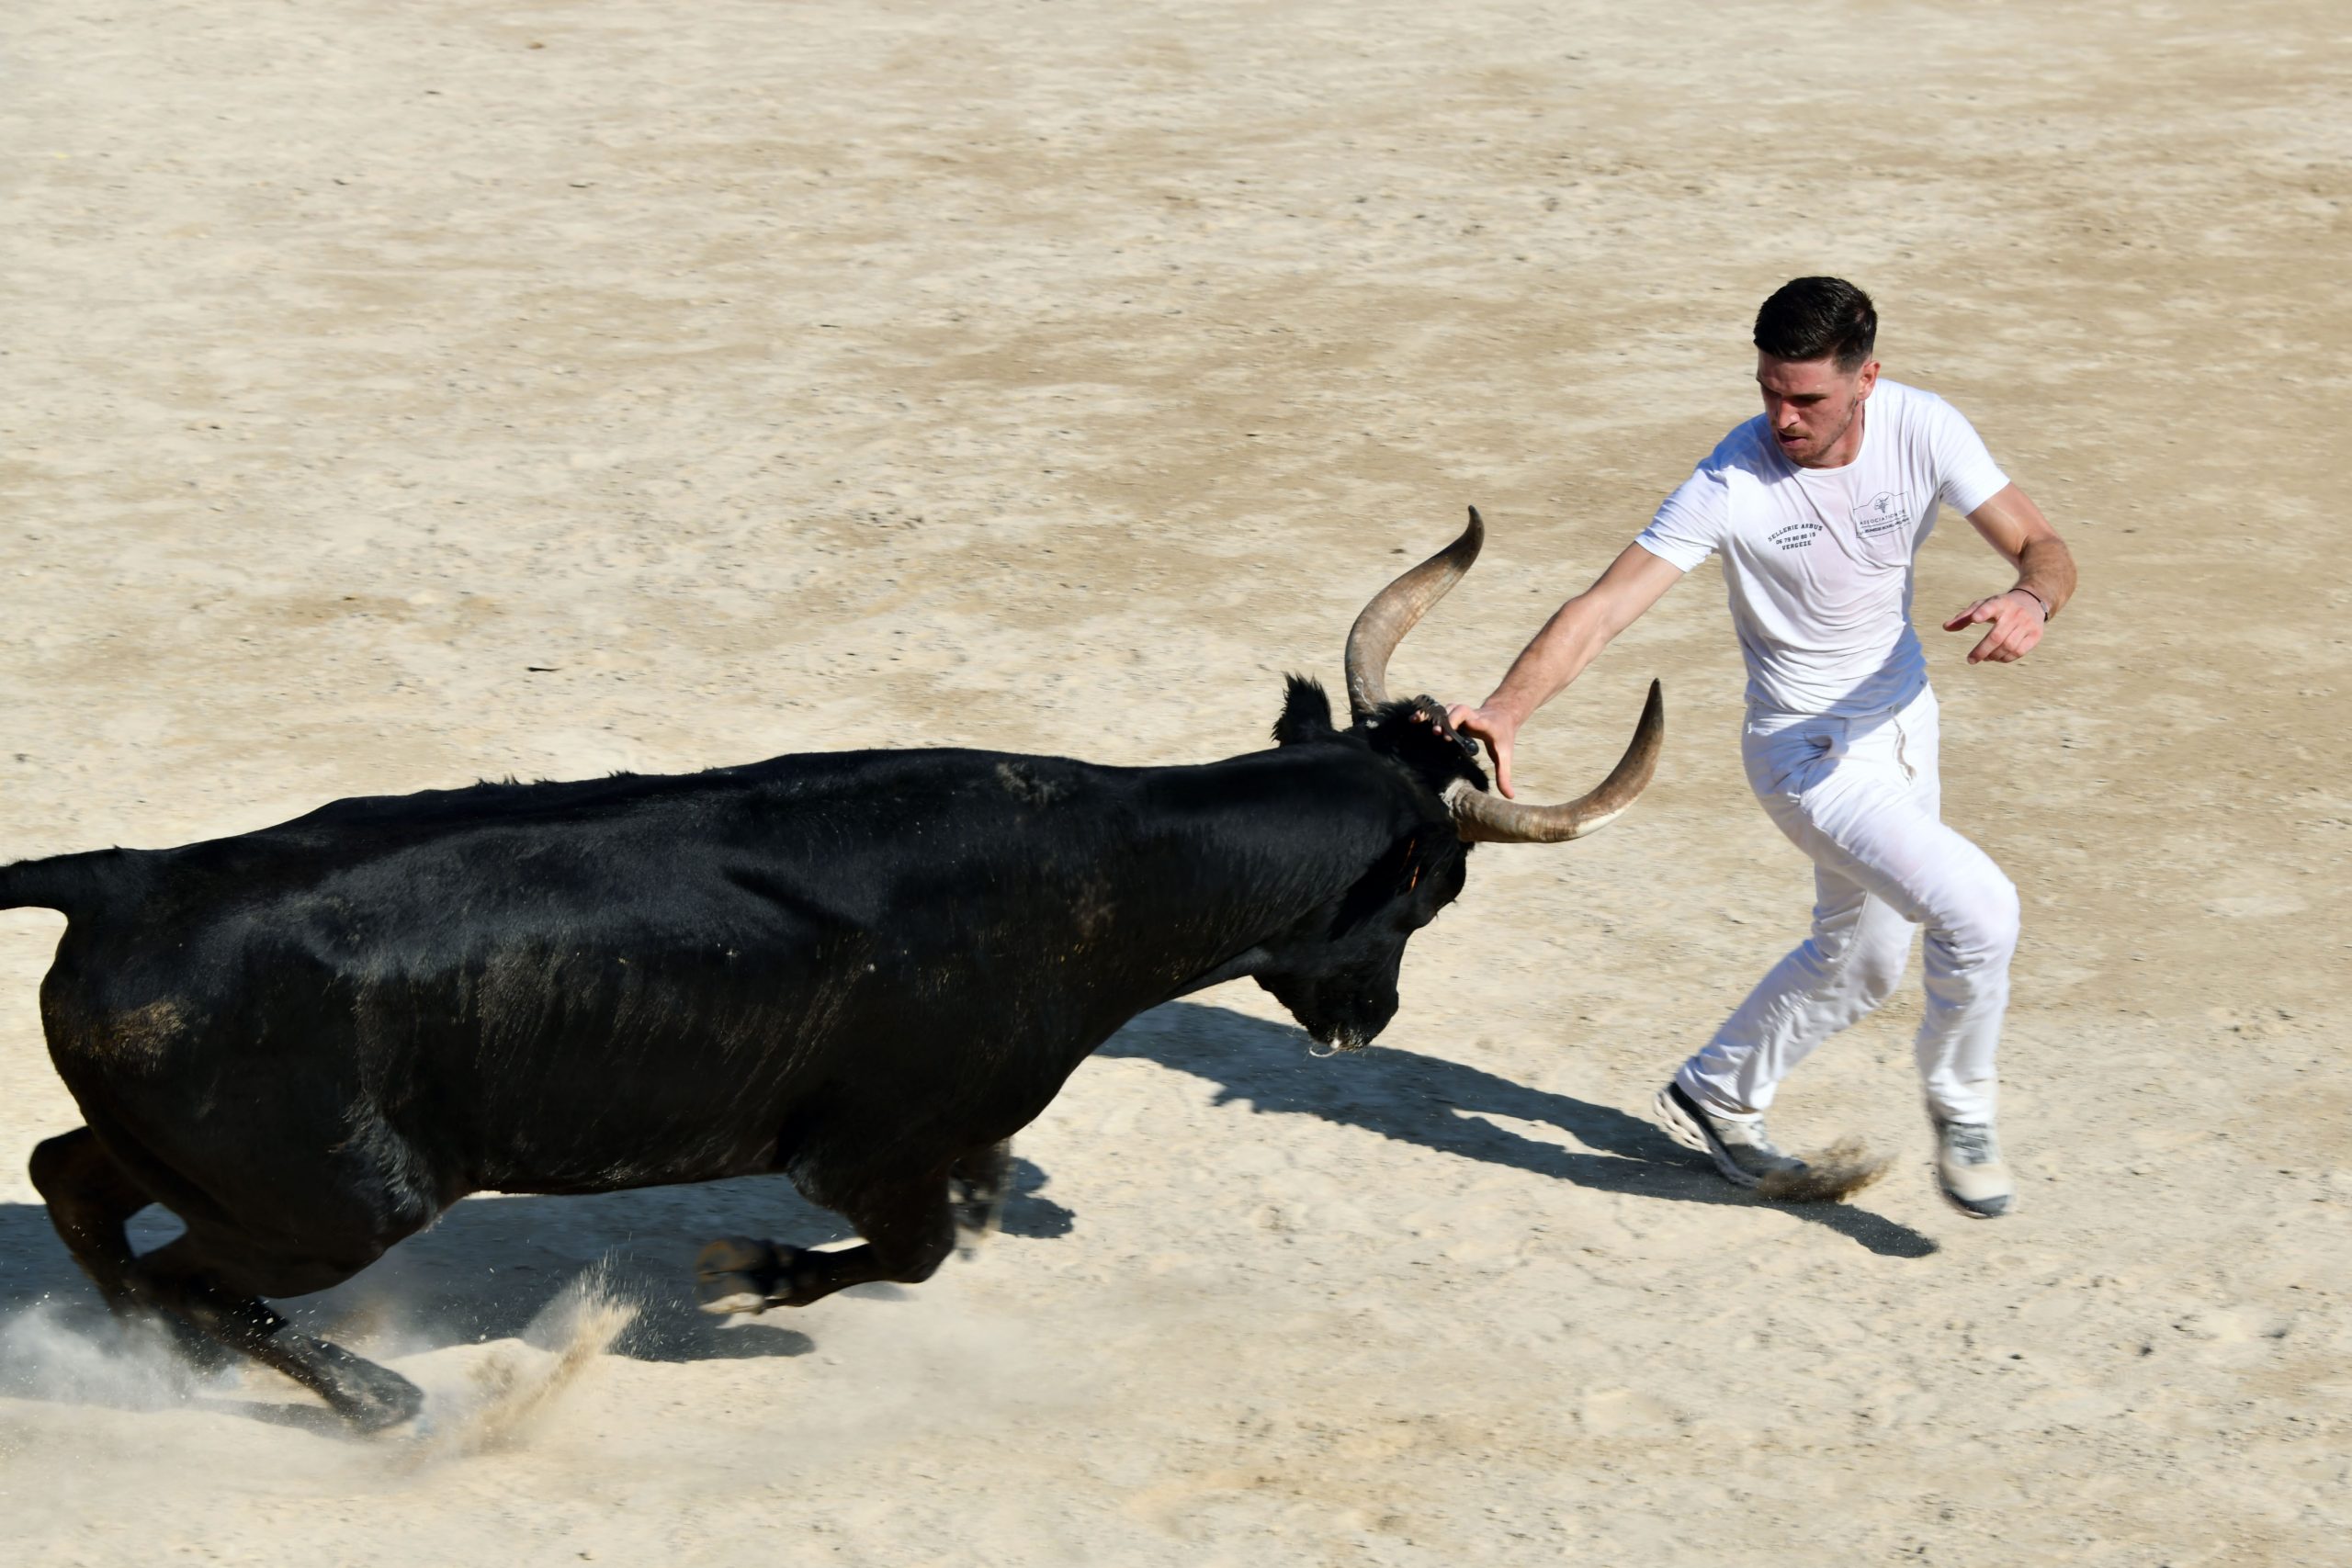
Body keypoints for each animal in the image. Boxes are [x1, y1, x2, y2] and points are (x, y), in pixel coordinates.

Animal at [0, 512, 1665, 1419]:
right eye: (1436, 890)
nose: (1362, 1025)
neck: (1114, 856)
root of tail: (124, 875)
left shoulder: (943, 1143)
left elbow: (962, 1227)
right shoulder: (871, 1151)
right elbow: (912, 1248)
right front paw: (754, 1272)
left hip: (221, 1162)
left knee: (76, 1181)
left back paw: (164, 1361)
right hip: (332, 1202)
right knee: (183, 1261)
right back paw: (390, 1399)